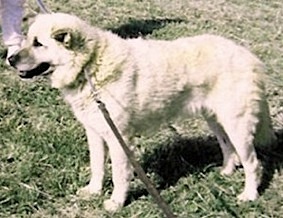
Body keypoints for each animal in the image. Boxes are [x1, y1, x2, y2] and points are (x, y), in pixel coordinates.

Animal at [8, 12, 276, 211]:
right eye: (27, 39)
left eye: (38, 43)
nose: (10, 60)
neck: (91, 65)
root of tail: (248, 56)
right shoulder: (95, 133)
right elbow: (97, 166)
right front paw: (93, 191)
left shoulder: (119, 138)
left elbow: (119, 174)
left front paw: (116, 203)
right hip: (216, 120)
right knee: (228, 148)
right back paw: (227, 172)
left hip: (236, 124)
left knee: (253, 163)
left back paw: (249, 196)